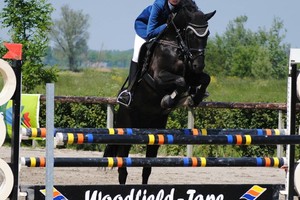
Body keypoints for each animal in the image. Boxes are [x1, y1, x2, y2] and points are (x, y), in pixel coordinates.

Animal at [104, 2, 214, 184]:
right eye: (191, 33)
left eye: (207, 34)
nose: (199, 65)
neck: (176, 47)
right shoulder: (158, 77)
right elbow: (180, 82)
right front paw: (170, 100)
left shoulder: (192, 75)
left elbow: (205, 78)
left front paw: (195, 97)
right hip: (127, 129)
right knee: (122, 168)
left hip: (155, 134)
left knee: (146, 168)